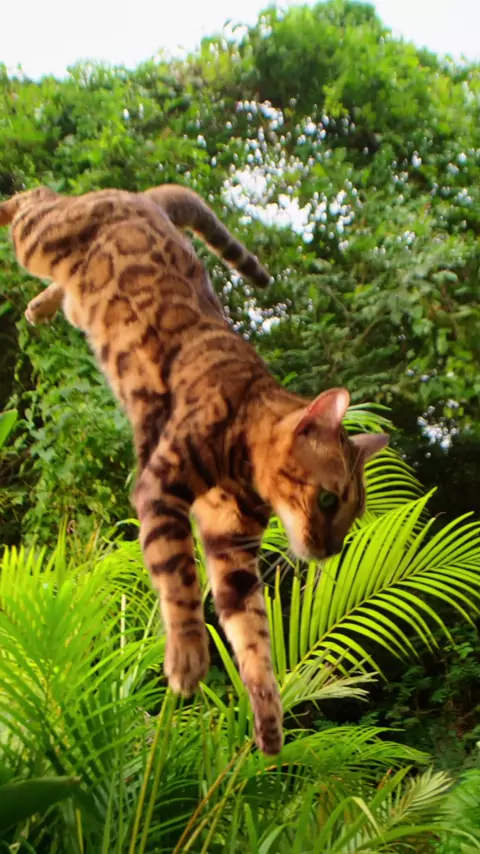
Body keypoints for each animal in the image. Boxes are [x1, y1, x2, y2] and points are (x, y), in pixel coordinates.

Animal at [0, 184, 388, 754]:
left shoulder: (232, 551)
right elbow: (179, 578)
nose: (332, 549)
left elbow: (253, 637)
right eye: (328, 498)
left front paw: (268, 720)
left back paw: (41, 305)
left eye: (351, 514)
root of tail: (141, 198)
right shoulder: (161, 488)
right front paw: (186, 658)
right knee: (33, 199)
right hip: (40, 238)